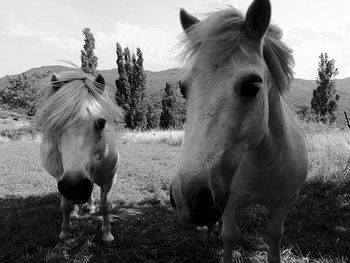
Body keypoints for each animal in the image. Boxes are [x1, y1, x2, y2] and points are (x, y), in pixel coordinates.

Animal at [35, 70, 120, 243]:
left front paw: (107, 233)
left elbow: (106, 206)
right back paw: (74, 212)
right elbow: (65, 206)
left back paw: (90, 206)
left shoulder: (110, 178)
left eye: (102, 123)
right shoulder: (61, 178)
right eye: (54, 124)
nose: (75, 186)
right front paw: (65, 231)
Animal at [170, 1, 308, 262]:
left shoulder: (286, 201)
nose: (190, 198)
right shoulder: (229, 204)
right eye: (183, 89)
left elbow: (275, 234)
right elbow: (229, 237)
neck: (264, 164)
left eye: (252, 86)